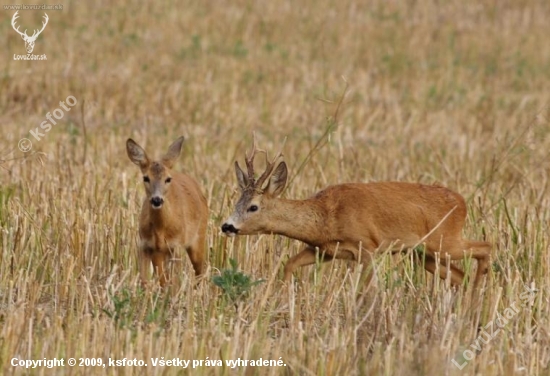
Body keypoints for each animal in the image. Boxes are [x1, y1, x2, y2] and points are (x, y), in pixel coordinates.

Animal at [127, 137, 209, 286]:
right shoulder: (145, 245)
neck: (161, 230)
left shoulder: (176, 246)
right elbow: (145, 281)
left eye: (168, 179)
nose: (157, 200)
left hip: (198, 237)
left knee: (201, 270)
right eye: (146, 178)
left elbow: (174, 284)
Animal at [222, 137, 494, 288]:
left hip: (444, 241)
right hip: (424, 253)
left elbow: (364, 289)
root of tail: (462, 202)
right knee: (460, 276)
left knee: (486, 247)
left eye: (253, 206)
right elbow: (289, 264)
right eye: (236, 202)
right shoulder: (324, 250)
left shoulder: (368, 247)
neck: (326, 217)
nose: (227, 226)